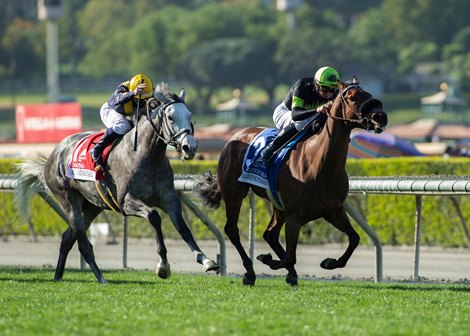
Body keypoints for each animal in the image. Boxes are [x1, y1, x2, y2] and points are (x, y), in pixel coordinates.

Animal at [16, 82, 218, 282]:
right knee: (82, 243)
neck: (146, 155)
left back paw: (58, 277)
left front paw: (206, 260)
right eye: (170, 117)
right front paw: (163, 266)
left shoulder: (169, 198)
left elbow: (182, 227)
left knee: (67, 238)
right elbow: (154, 216)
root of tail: (52, 156)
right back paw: (101, 278)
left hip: (92, 205)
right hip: (67, 199)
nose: (189, 147)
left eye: (189, 116)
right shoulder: (126, 201)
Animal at [195, 80, 386, 284]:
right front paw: (268, 260)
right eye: (353, 97)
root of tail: (234, 138)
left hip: (277, 203)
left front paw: (329, 262)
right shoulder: (294, 216)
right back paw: (250, 272)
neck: (320, 164)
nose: (381, 116)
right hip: (234, 194)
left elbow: (354, 238)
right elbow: (290, 256)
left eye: (368, 94)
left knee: (270, 234)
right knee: (232, 230)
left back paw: (288, 272)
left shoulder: (333, 210)